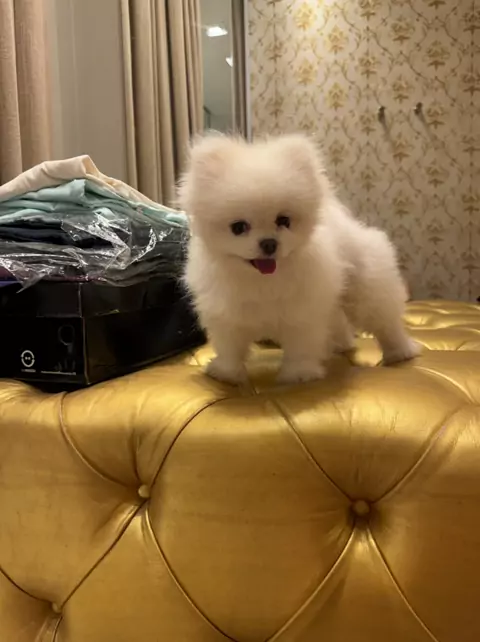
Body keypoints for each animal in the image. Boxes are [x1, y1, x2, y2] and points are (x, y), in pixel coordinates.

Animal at [178, 133, 420, 384]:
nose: (269, 243)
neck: (263, 281)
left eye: (284, 221)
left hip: (366, 289)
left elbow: (300, 346)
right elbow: (230, 348)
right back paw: (341, 345)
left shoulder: (302, 314)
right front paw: (226, 374)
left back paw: (400, 352)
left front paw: (299, 375)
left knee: (385, 322)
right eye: (238, 227)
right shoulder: (228, 316)